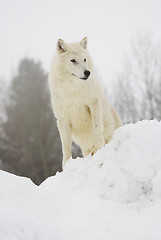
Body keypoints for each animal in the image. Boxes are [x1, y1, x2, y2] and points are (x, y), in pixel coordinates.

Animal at [48, 38, 121, 169]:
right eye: (73, 60)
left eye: (84, 59)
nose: (87, 72)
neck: (73, 91)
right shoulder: (62, 119)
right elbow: (65, 144)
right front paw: (66, 165)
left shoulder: (93, 103)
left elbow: (96, 128)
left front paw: (99, 148)